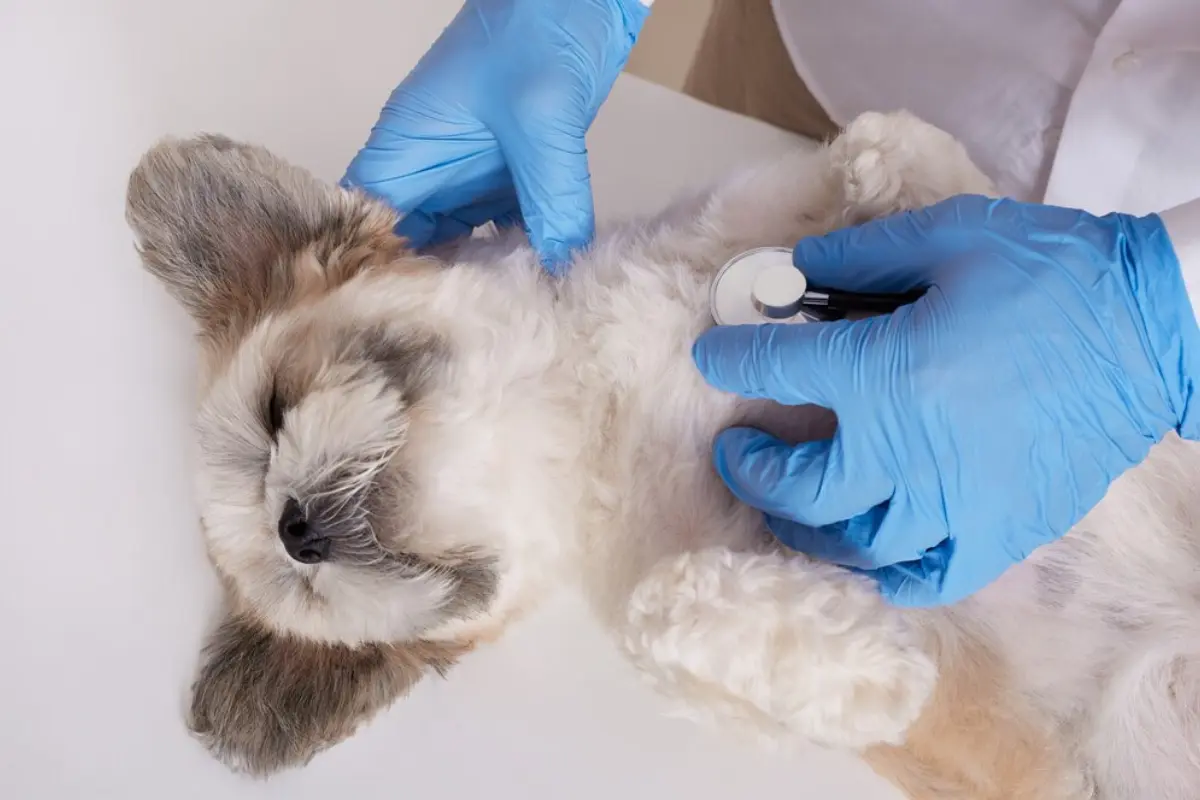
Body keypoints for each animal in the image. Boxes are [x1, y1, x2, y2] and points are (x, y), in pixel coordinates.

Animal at [126, 112, 1200, 800]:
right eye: (294, 582)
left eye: (275, 410)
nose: (294, 526)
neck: (585, 404)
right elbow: (675, 611)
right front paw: (880, 664)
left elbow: (901, 151)